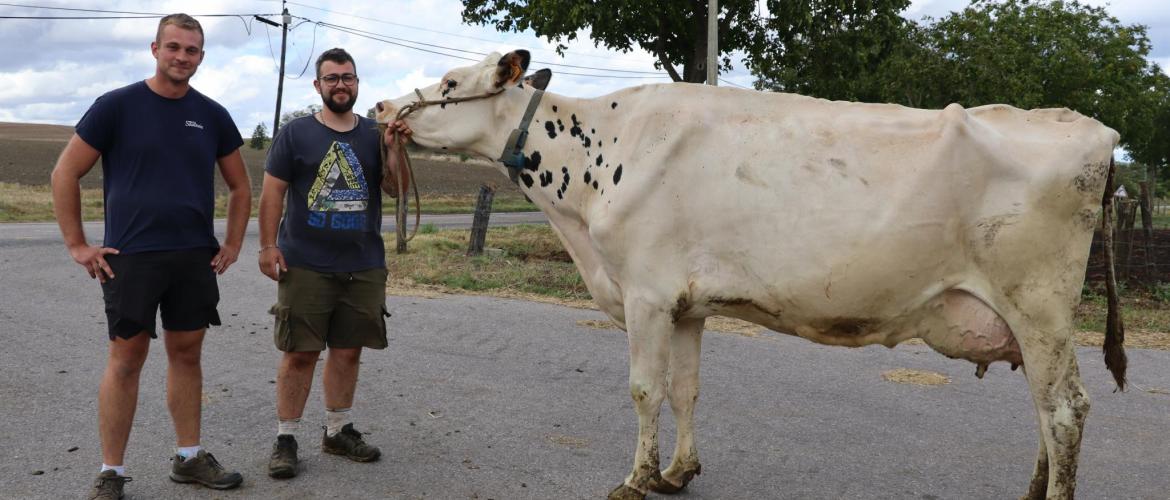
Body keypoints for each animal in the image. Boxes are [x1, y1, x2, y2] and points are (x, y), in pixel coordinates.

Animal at [376, 50, 1125, 500]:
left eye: (450, 85)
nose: (384, 110)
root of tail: (1095, 131)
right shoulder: (686, 303)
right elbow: (686, 391)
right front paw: (677, 472)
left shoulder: (646, 293)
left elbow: (645, 391)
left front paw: (636, 478)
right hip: (1026, 318)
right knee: (1042, 408)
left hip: (1040, 305)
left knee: (1065, 410)